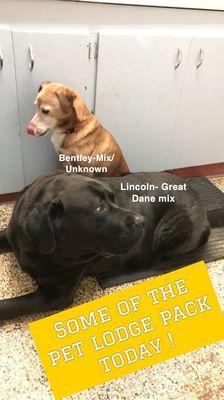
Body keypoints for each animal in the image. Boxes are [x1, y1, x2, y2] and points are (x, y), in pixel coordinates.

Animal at [0, 170, 210, 320]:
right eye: (100, 207)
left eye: (114, 199)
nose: (141, 221)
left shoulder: (55, 295)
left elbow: (10, 306)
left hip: (171, 230)